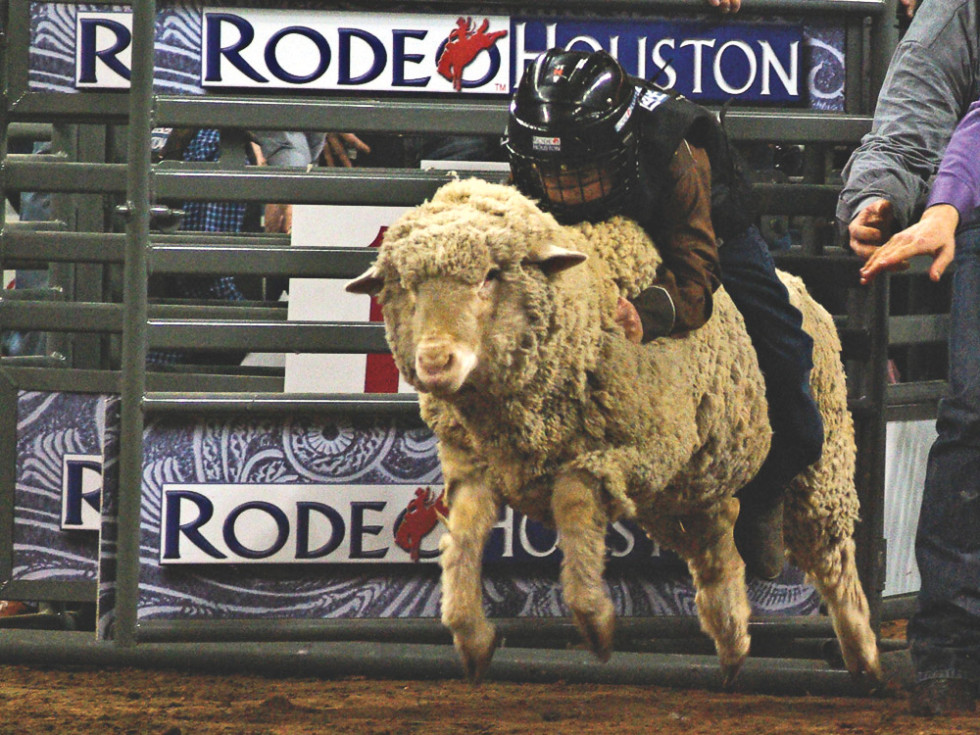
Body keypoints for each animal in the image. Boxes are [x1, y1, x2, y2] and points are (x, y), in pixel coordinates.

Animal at [346, 178, 880, 688]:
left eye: (491, 276)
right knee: (717, 553)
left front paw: (595, 619)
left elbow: (572, 499)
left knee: (831, 560)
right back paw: (733, 645)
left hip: (818, 468)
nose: (436, 362)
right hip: (688, 493)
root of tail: (801, 285)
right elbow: (464, 534)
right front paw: (470, 634)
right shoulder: (475, 462)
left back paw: (863, 656)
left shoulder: (644, 450)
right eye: (404, 285)